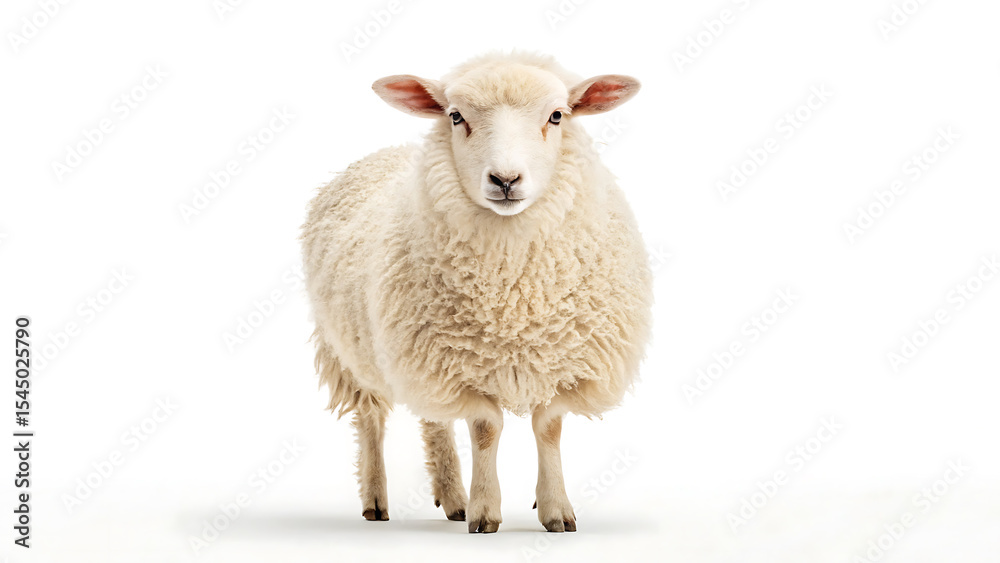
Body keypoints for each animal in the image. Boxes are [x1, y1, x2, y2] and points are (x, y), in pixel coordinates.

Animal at [301, 52, 652, 534]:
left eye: (557, 116)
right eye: (455, 116)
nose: (505, 180)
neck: (515, 295)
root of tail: (381, 154)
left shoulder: (561, 359)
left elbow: (549, 428)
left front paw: (555, 509)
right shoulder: (459, 367)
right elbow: (485, 428)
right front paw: (486, 512)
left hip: (420, 355)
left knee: (435, 420)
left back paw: (452, 498)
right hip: (355, 352)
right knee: (371, 417)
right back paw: (376, 499)